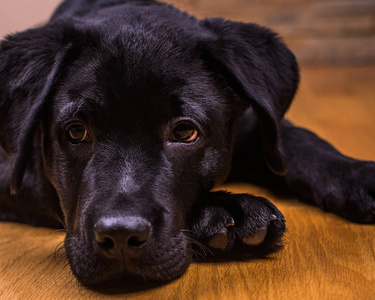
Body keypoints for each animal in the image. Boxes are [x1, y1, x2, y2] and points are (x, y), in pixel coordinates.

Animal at [0, 0, 375, 288]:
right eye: (76, 132)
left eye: (184, 133)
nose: (120, 237)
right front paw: (227, 211)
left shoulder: (255, 125)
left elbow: (298, 143)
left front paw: (359, 177)